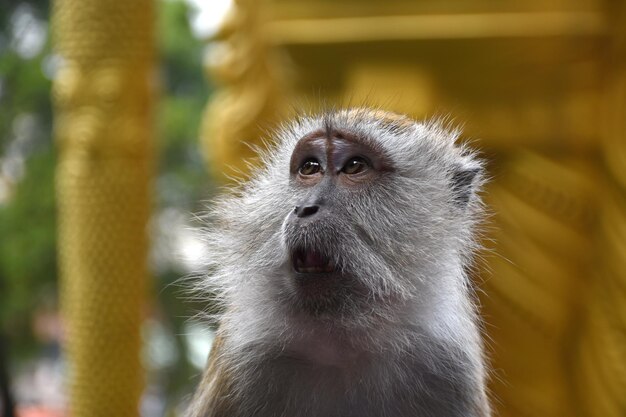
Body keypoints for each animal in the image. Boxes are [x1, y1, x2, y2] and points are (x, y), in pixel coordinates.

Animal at [188, 108, 490, 416]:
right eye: (310, 168)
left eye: (355, 166)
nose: (304, 208)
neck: (341, 338)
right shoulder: (243, 355)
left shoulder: (451, 366)